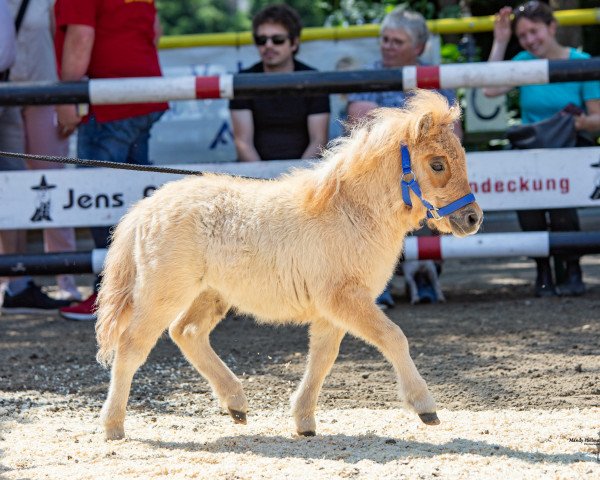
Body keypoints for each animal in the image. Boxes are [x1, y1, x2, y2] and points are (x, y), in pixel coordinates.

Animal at [97, 90, 482, 438]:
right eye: (437, 164)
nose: (472, 218)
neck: (350, 214)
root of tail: (146, 208)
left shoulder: (332, 310)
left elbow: (322, 357)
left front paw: (304, 421)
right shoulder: (345, 299)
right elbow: (393, 337)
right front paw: (425, 407)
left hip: (210, 295)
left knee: (187, 332)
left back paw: (236, 404)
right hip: (163, 294)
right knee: (131, 346)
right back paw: (114, 426)